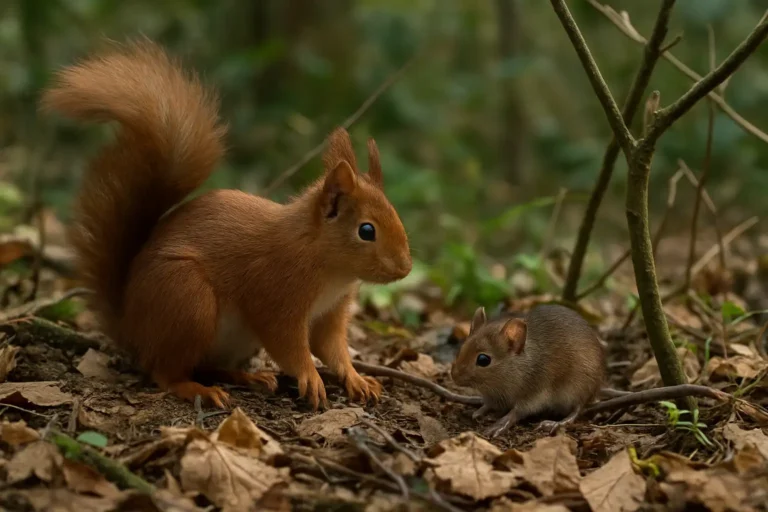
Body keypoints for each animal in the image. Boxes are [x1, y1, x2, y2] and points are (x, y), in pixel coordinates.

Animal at [41, 39, 412, 411]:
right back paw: (197, 389)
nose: (406, 268)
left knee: (207, 366)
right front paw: (310, 377)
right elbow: (288, 344)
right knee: (166, 372)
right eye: (367, 230)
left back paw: (248, 377)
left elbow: (331, 347)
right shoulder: (276, 291)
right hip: (187, 300)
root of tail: (131, 329)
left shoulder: (331, 312)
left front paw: (356, 378)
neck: (328, 265)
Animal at [450, 304, 606, 438]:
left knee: (576, 410)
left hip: (576, 389)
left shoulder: (534, 395)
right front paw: (478, 412)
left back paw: (554, 423)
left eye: (483, 360)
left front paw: (499, 425)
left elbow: (516, 412)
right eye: (461, 349)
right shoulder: (494, 397)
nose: (454, 376)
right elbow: (488, 404)